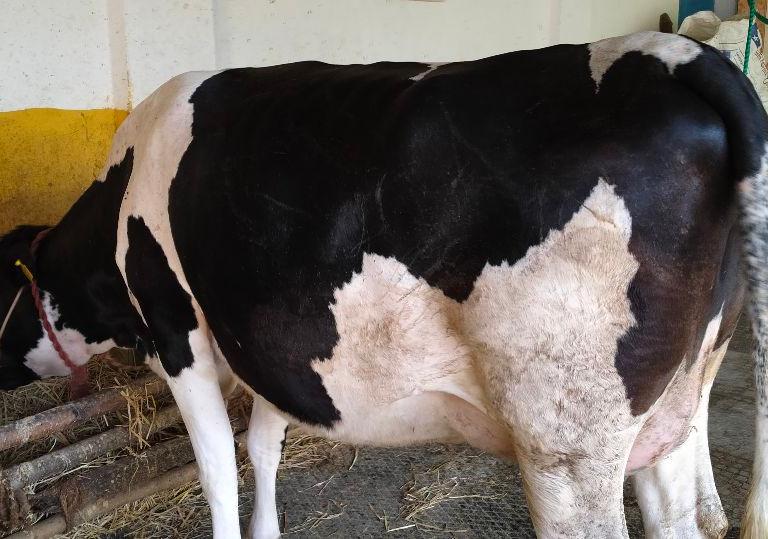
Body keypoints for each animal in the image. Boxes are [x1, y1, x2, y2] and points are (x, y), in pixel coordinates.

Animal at [0, 31, 767, 538]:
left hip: (567, 437)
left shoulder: (176, 329)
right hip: (679, 396)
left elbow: (218, 466)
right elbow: (264, 445)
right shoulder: (279, 350)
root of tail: (666, 51)